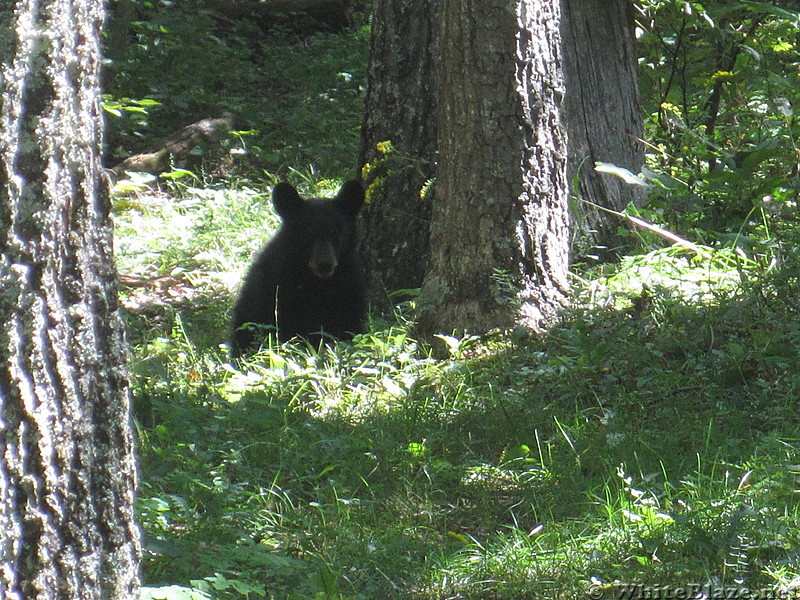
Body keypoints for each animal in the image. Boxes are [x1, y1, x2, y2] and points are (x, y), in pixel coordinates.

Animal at [230, 179, 368, 356]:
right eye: (308, 234)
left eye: (336, 234)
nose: (324, 264)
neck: (317, 283)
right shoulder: (280, 287)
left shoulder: (349, 285)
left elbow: (349, 323)